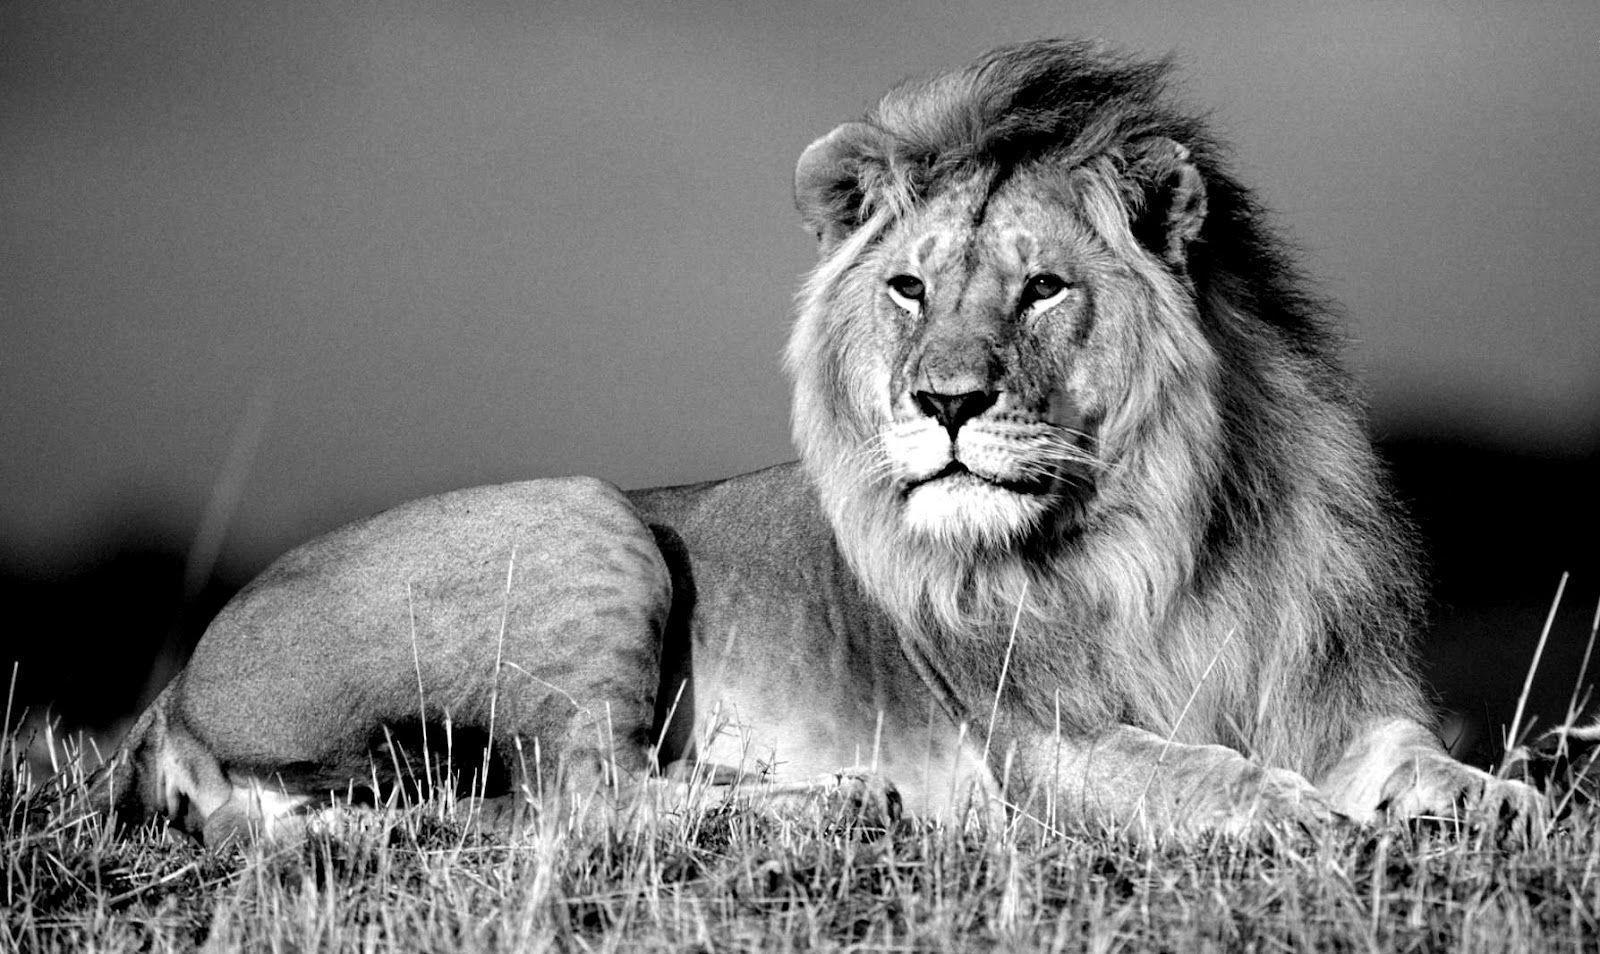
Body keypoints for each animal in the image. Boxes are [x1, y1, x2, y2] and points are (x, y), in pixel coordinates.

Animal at [95, 40, 1541, 844]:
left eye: (1042, 289)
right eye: (907, 288)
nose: (942, 402)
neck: (1163, 538)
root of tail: (178, 684)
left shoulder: (1333, 688)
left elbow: (1413, 753)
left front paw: (1498, 802)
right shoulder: (1038, 744)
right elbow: (1184, 766)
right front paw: (1285, 810)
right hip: (585, 520)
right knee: (582, 796)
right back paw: (835, 803)